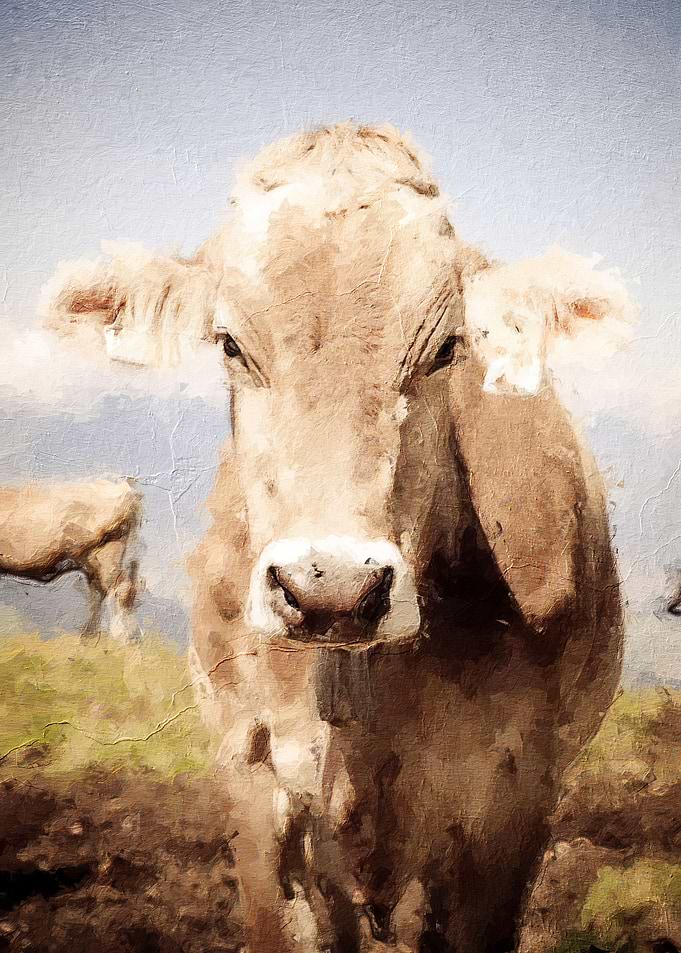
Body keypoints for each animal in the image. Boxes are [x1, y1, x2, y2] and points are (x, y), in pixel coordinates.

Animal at [0, 479, 143, 643]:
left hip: (107, 551)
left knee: (120, 588)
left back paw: (125, 637)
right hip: (94, 559)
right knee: (99, 592)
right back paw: (89, 637)